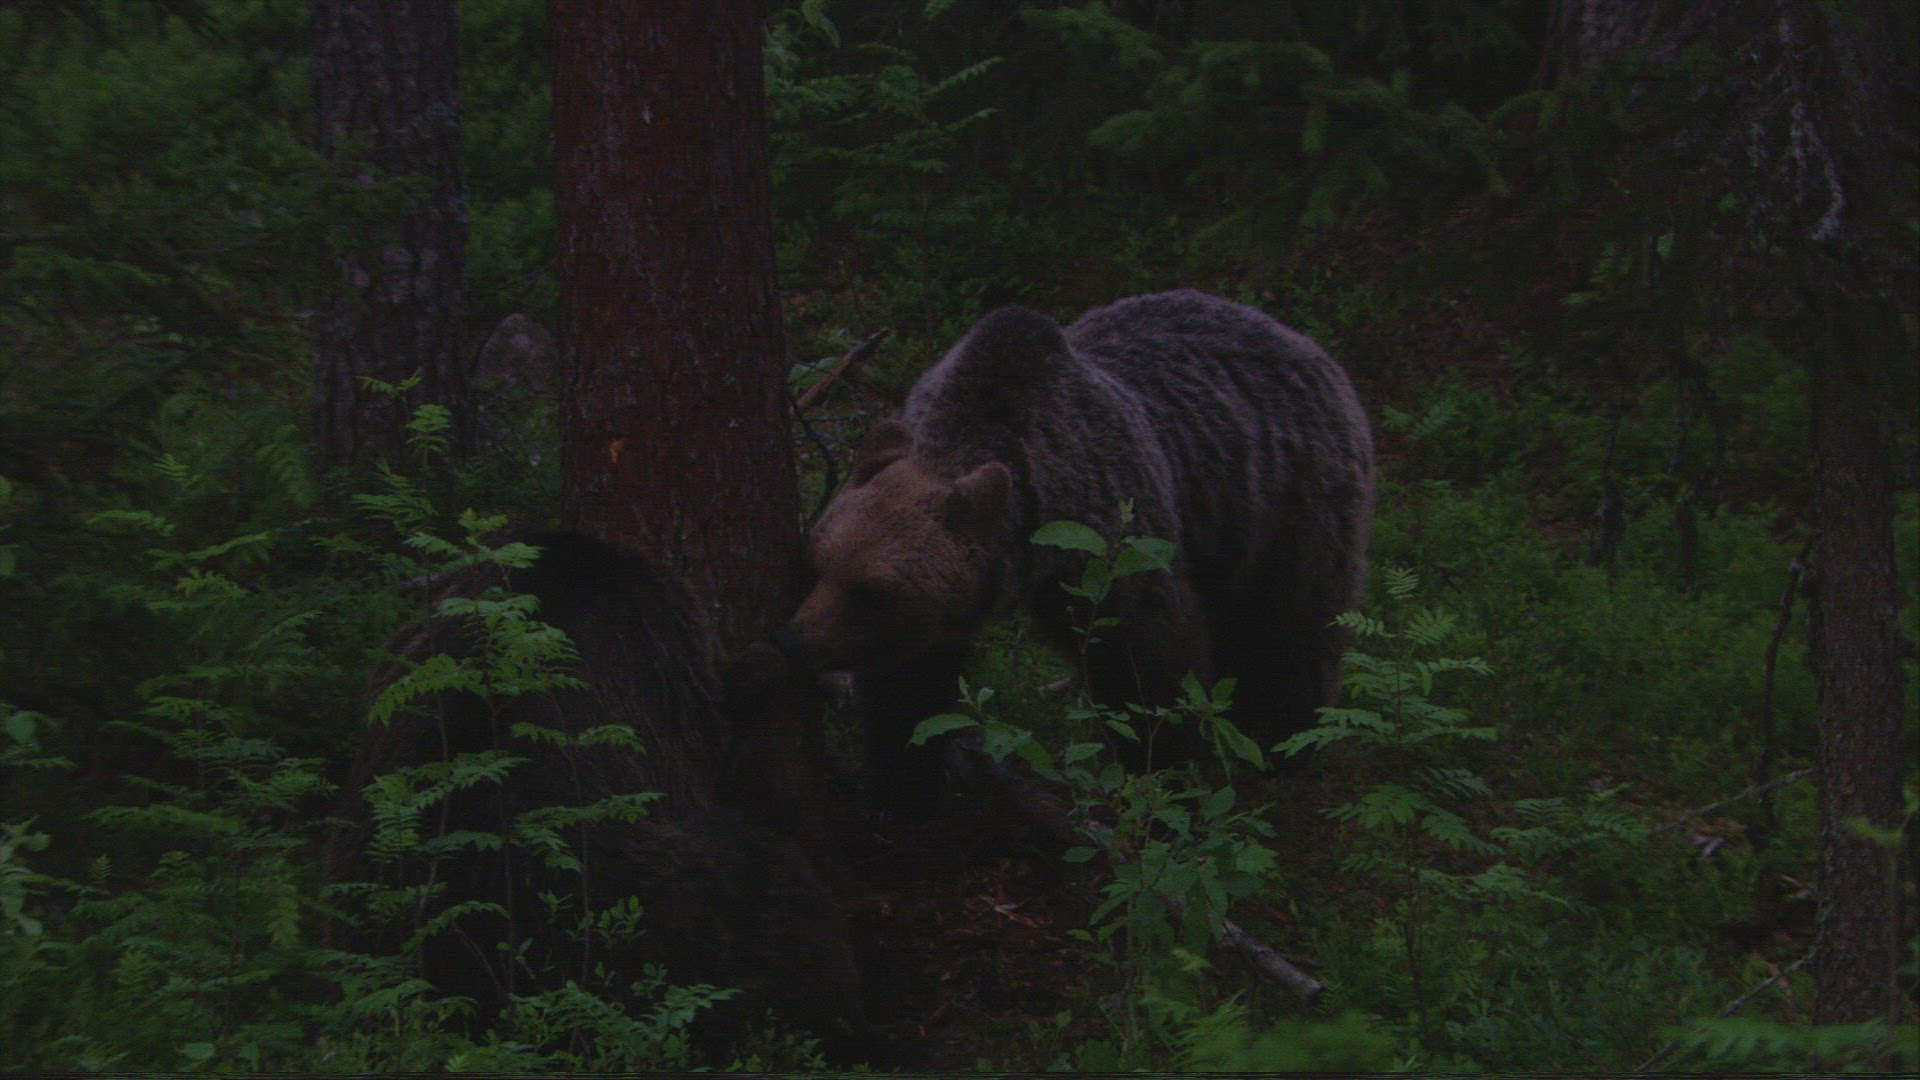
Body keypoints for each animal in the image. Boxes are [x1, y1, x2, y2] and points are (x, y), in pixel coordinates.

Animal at [786, 289, 1374, 809]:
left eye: (870, 590)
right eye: (816, 563)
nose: (796, 640)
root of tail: (1299, 339)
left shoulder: (1109, 543)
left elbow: (1151, 664)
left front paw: (1163, 772)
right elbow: (909, 690)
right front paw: (896, 789)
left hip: (1286, 500)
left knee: (1290, 630)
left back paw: (1283, 741)